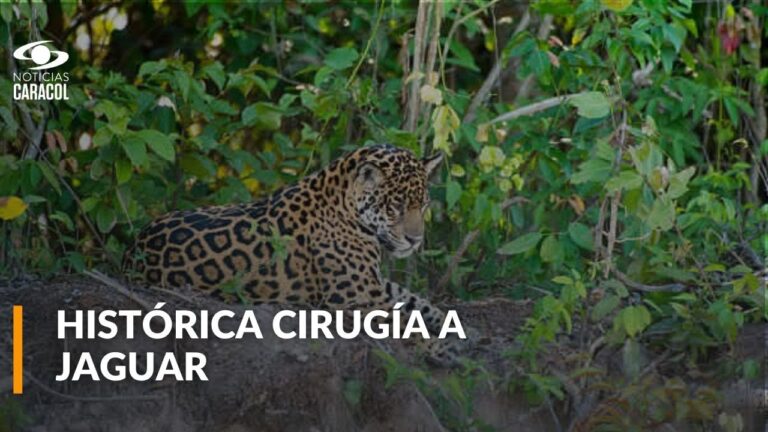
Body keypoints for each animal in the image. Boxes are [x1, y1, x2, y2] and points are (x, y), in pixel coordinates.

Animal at [123, 144, 462, 365]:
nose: (415, 240)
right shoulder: (360, 298)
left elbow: (414, 300)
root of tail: (132, 251)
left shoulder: (373, 283)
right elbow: (405, 321)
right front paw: (441, 349)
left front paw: (451, 326)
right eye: (395, 207)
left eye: (424, 205)